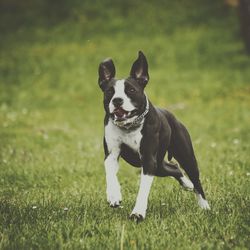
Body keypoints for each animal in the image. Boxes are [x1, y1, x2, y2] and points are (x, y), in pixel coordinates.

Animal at [97, 50, 209, 221]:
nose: (117, 100)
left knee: (196, 181)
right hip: (160, 166)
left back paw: (204, 206)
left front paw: (138, 212)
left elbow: (143, 189)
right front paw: (114, 195)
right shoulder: (111, 154)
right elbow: (110, 173)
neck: (130, 127)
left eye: (131, 90)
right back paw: (187, 184)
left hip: (185, 157)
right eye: (110, 91)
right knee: (174, 167)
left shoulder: (149, 160)